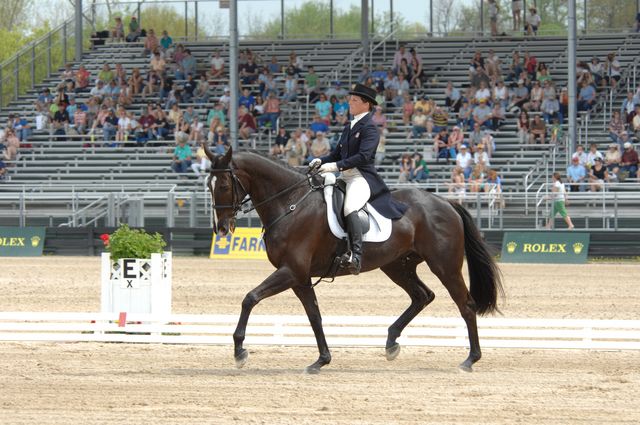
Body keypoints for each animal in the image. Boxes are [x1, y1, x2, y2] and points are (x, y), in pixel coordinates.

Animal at [208, 147, 502, 372]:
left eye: (223, 185)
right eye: (208, 186)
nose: (221, 228)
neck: (290, 203)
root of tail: (445, 202)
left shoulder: (291, 270)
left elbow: (250, 298)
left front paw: (239, 350)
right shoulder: (300, 277)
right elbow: (314, 316)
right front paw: (321, 360)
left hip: (444, 266)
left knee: (465, 305)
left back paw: (470, 359)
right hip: (397, 265)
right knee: (422, 296)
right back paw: (391, 343)